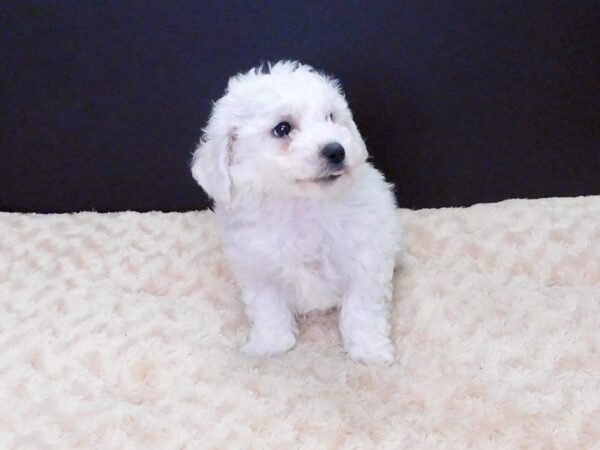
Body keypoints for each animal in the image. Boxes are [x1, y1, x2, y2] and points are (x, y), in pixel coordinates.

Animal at [190, 59, 400, 364]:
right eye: (282, 129)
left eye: (330, 117)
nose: (336, 150)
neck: (300, 203)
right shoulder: (258, 268)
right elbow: (268, 308)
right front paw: (270, 345)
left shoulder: (365, 259)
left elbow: (363, 310)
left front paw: (370, 351)